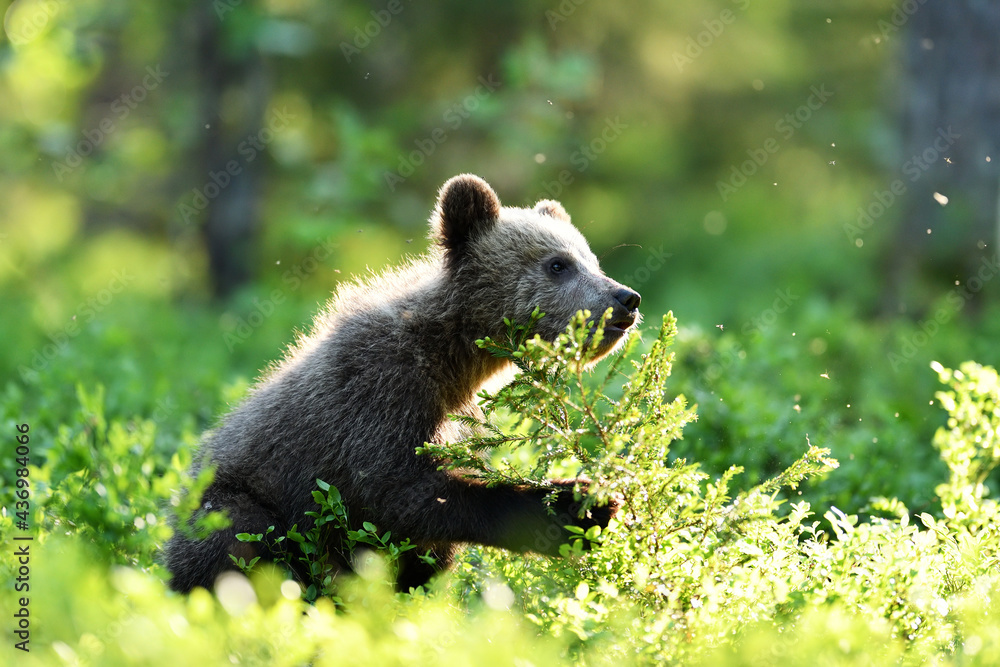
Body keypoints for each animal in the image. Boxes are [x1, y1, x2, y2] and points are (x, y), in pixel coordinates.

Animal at [165, 174, 642, 593]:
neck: (452, 361)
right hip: (231, 503)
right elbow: (400, 491)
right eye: (558, 264)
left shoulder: (455, 417)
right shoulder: (377, 391)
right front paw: (578, 504)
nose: (626, 298)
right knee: (241, 540)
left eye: (593, 260)